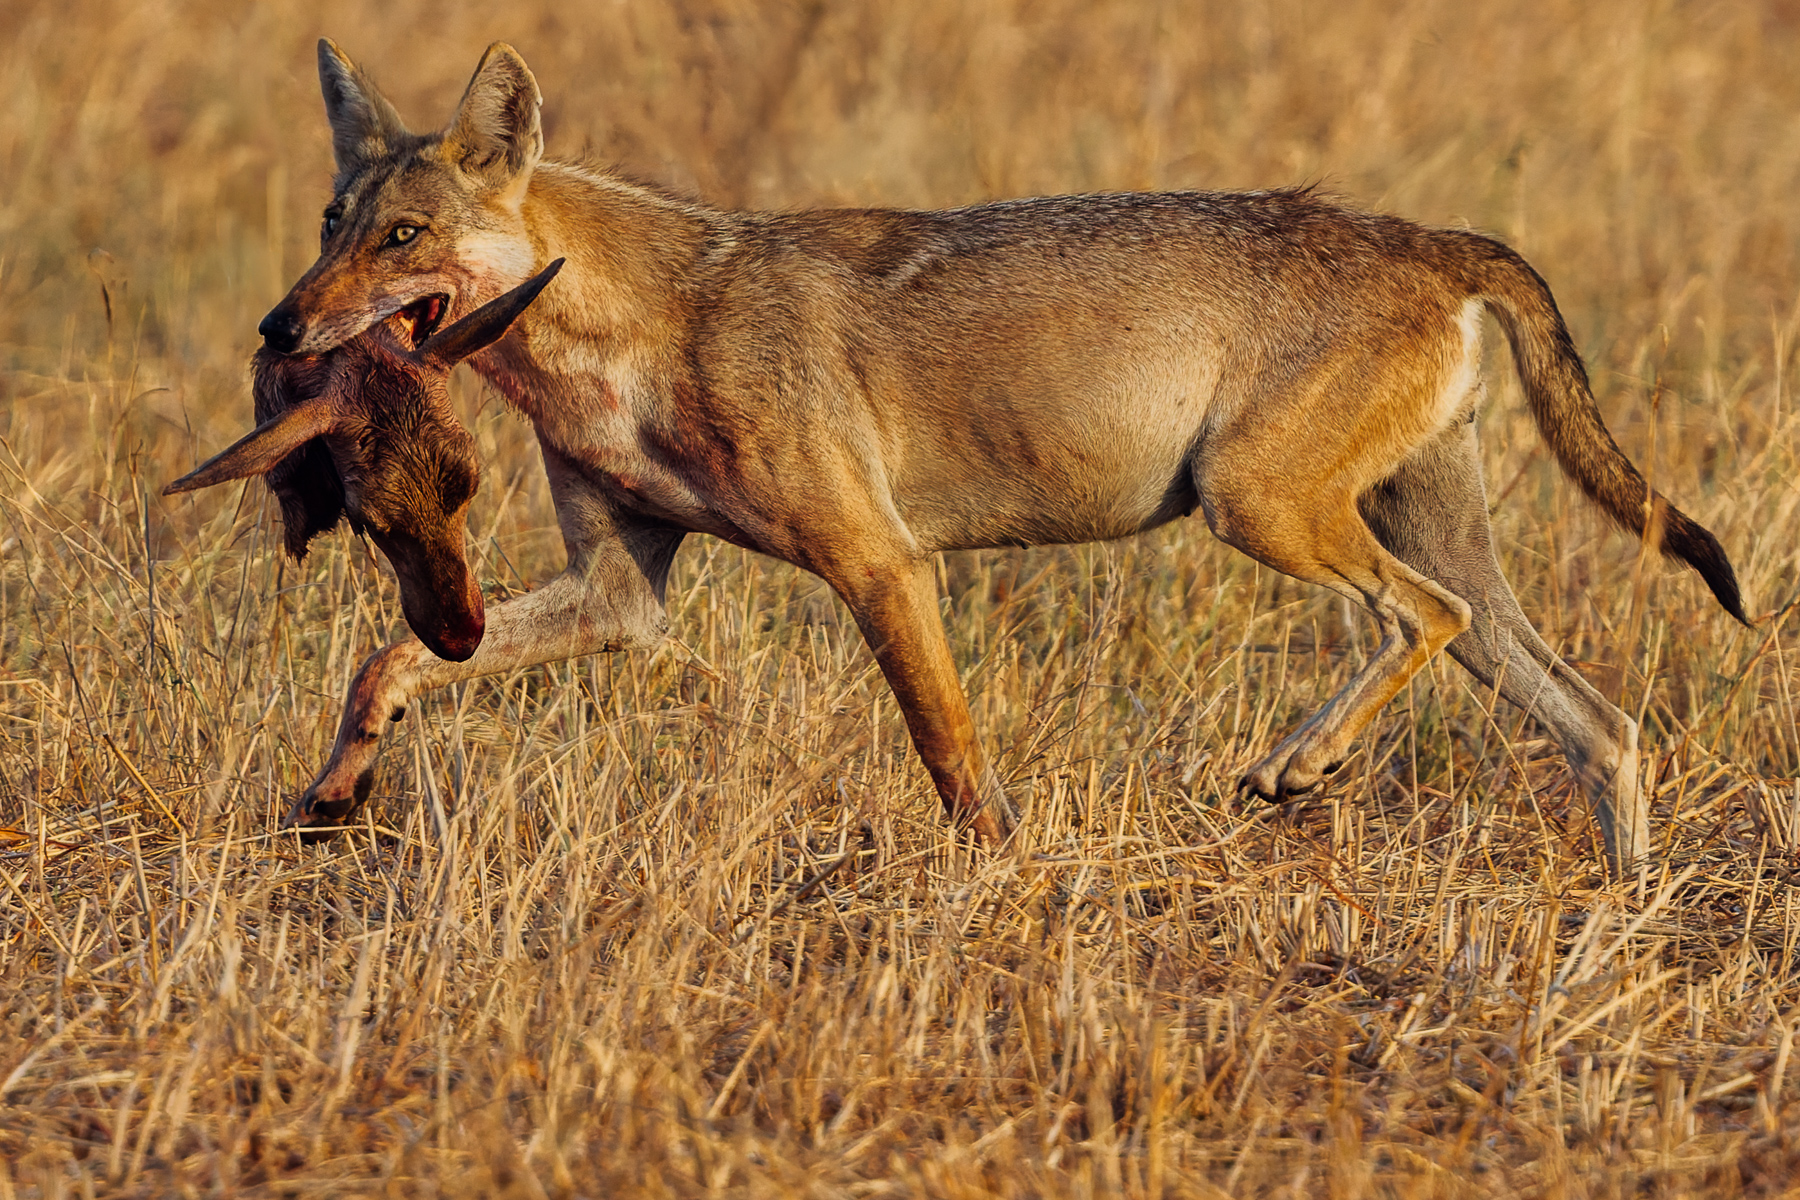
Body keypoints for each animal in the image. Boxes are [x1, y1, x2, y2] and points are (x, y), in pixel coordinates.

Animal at [180, 39, 1747, 871]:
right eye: (328, 223)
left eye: (402, 239)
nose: (278, 326)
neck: (625, 331)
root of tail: (1434, 237)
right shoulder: (625, 601)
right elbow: (382, 664)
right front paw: (330, 796)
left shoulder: (880, 567)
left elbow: (953, 756)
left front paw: (997, 880)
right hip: (1408, 540)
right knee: (1601, 722)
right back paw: (1620, 914)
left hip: (1261, 513)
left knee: (1423, 623)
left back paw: (1293, 768)